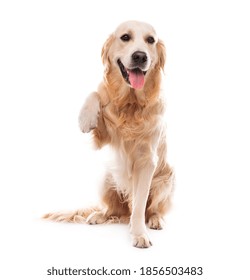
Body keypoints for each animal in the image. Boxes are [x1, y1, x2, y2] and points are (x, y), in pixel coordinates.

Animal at [44, 20, 174, 248]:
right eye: (125, 37)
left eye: (150, 40)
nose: (140, 56)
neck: (130, 103)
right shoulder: (103, 136)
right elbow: (95, 93)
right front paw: (86, 117)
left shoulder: (147, 161)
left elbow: (139, 206)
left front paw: (139, 233)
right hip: (106, 180)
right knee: (112, 210)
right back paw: (98, 215)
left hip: (165, 181)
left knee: (149, 209)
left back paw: (155, 219)